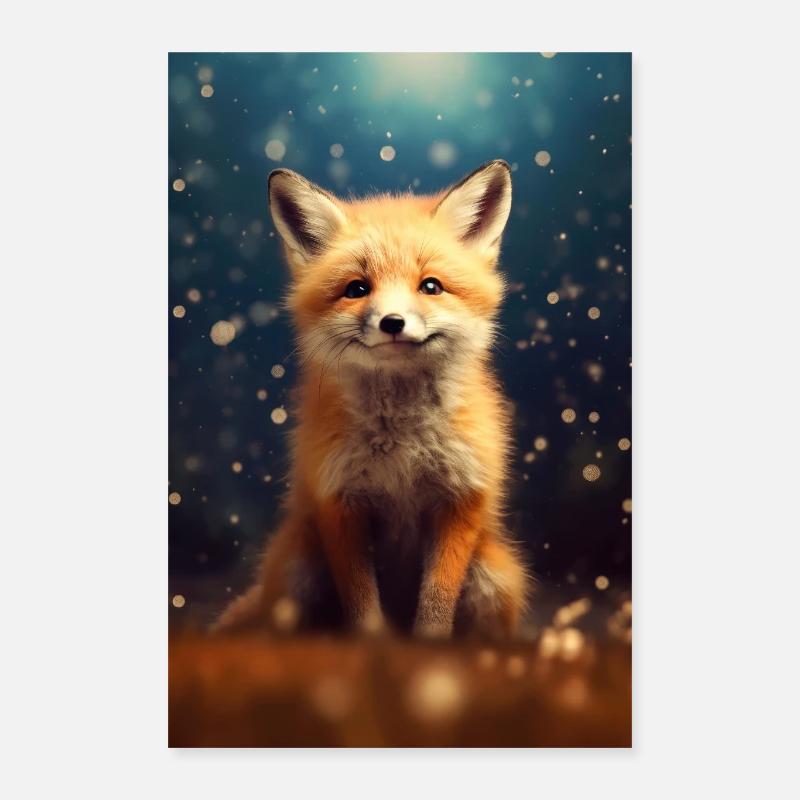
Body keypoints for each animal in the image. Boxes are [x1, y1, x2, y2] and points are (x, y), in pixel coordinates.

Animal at [213, 159, 530, 639]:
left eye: (431, 286)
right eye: (357, 289)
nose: (393, 322)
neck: (403, 447)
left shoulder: (461, 500)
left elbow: (437, 604)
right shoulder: (339, 502)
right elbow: (362, 605)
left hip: (495, 574)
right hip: (297, 569)